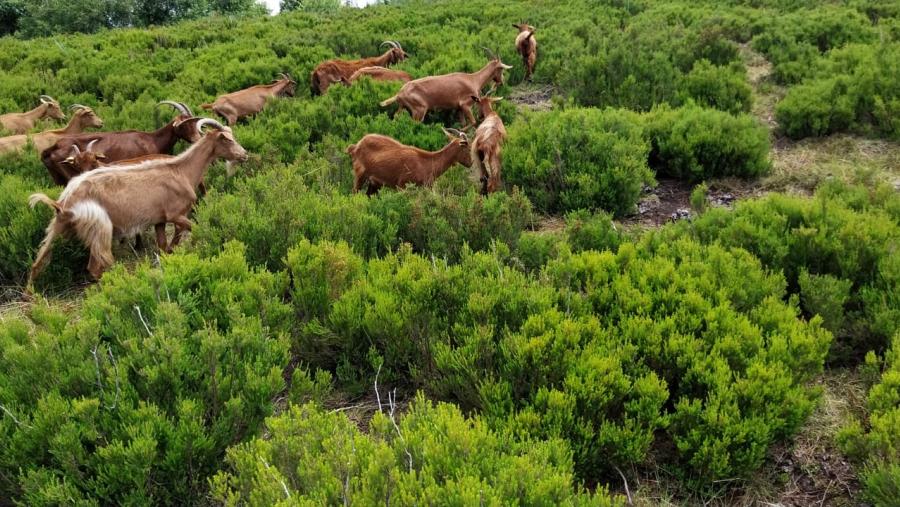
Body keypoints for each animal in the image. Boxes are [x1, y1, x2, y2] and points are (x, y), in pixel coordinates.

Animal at [28, 119, 247, 283]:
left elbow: (163, 245)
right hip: (100, 228)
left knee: (38, 262)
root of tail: (64, 202)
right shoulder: (176, 214)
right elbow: (192, 228)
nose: (244, 155)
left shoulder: (159, 220)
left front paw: (169, 254)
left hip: (58, 227)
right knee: (95, 266)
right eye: (226, 139)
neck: (181, 170)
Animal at [380, 51, 512, 129]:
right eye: (501, 69)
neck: (472, 79)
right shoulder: (465, 106)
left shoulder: (459, 109)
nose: (501, 82)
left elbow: (463, 124)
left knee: (395, 118)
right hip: (419, 111)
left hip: (402, 107)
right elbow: (473, 123)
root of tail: (399, 93)